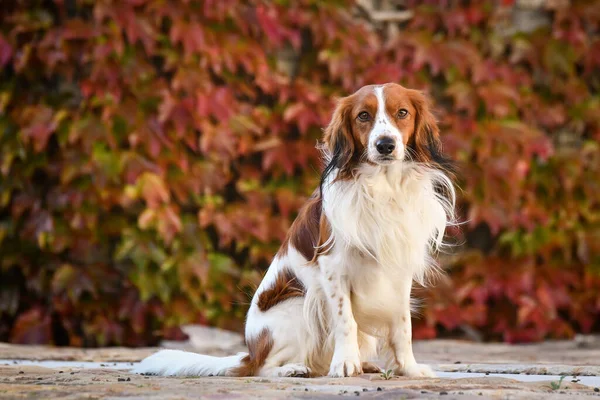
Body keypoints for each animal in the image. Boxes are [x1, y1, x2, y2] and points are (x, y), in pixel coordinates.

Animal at [134, 82, 458, 378]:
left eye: (402, 113)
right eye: (363, 116)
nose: (385, 144)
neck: (383, 187)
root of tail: (251, 350)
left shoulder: (399, 268)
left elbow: (402, 325)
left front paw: (409, 368)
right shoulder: (333, 268)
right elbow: (346, 320)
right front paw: (344, 364)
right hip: (297, 305)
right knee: (262, 369)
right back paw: (292, 369)